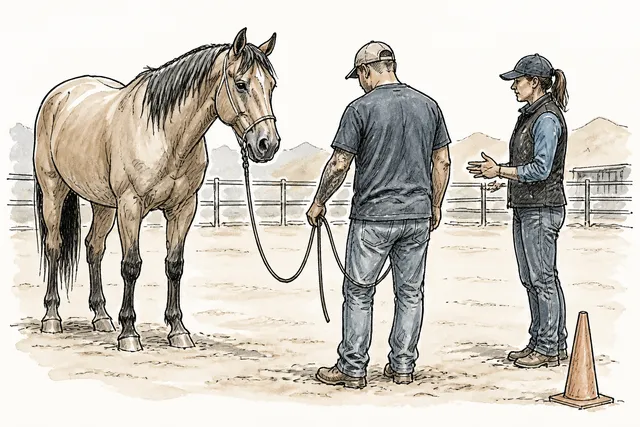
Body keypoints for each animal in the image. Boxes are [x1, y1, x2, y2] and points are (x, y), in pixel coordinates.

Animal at [32, 28, 280, 352]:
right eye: (241, 84)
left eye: (272, 86)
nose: (267, 144)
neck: (165, 134)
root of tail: (60, 95)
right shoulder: (130, 206)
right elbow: (131, 265)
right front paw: (129, 334)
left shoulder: (183, 208)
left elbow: (174, 265)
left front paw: (178, 331)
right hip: (54, 191)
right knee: (55, 246)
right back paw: (52, 317)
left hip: (103, 204)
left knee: (94, 248)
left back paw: (101, 317)